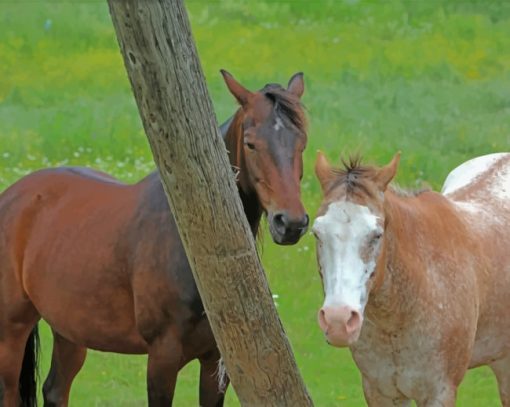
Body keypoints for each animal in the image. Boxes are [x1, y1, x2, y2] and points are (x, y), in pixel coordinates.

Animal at [0, 71, 306, 406]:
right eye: (251, 144)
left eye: (302, 142)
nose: (290, 223)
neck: (189, 243)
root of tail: (13, 195)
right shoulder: (162, 357)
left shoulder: (214, 360)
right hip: (11, 331)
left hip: (69, 329)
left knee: (55, 389)